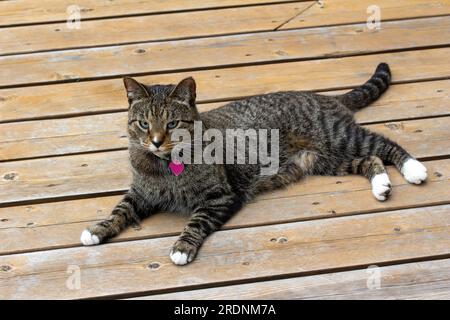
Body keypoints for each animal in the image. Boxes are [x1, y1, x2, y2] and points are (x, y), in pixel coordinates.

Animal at [79, 62, 428, 264]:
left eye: (173, 124)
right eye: (143, 124)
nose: (154, 141)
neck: (167, 166)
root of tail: (325, 97)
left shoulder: (220, 197)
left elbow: (196, 222)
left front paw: (182, 247)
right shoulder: (140, 193)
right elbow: (119, 210)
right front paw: (97, 229)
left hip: (341, 138)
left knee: (385, 145)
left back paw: (413, 169)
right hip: (325, 160)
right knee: (369, 159)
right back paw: (381, 184)